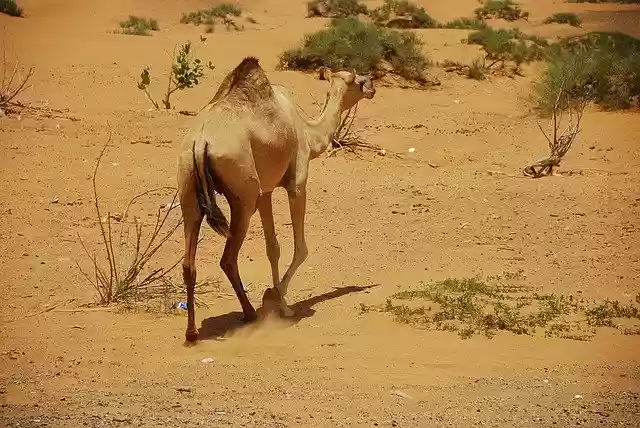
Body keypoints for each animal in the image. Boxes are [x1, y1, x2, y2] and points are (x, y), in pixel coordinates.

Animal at [177, 57, 376, 342]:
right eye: (359, 80)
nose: (373, 86)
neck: (309, 134)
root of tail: (201, 141)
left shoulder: (266, 191)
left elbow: (273, 247)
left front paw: (276, 297)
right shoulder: (296, 184)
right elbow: (301, 248)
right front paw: (278, 300)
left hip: (188, 189)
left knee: (188, 263)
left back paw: (192, 332)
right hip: (243, 196)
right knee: (228, 259)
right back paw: (249, 313)